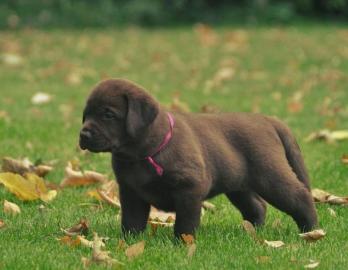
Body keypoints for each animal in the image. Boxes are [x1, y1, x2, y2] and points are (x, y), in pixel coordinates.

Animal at [79, 78, 318, 238]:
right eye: (86, 114)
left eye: (108, 115)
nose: (83, 134)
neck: (142, 154)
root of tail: (268, 120)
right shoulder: (131, 192)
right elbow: (131, 221)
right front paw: (129, 242)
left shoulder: (190, 189)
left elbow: (186, 222)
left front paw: (182, 244)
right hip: (238, 185)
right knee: (257, 206)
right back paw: (251, 231)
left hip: (270, 176)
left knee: (300, 196)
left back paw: (311, 231)